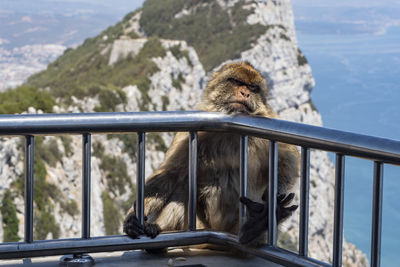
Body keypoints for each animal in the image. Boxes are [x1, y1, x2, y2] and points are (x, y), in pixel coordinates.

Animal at [123, 61, 298, 246]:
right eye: (236, 81)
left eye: (253, 87)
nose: (246, 93)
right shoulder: (187, 135)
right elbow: (170, 173)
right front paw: (133, 217)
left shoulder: (268, 121)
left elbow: (288, 158)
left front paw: (273, 198)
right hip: (199, 222)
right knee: (183, 185)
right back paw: (156, 228)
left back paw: (256, 226)